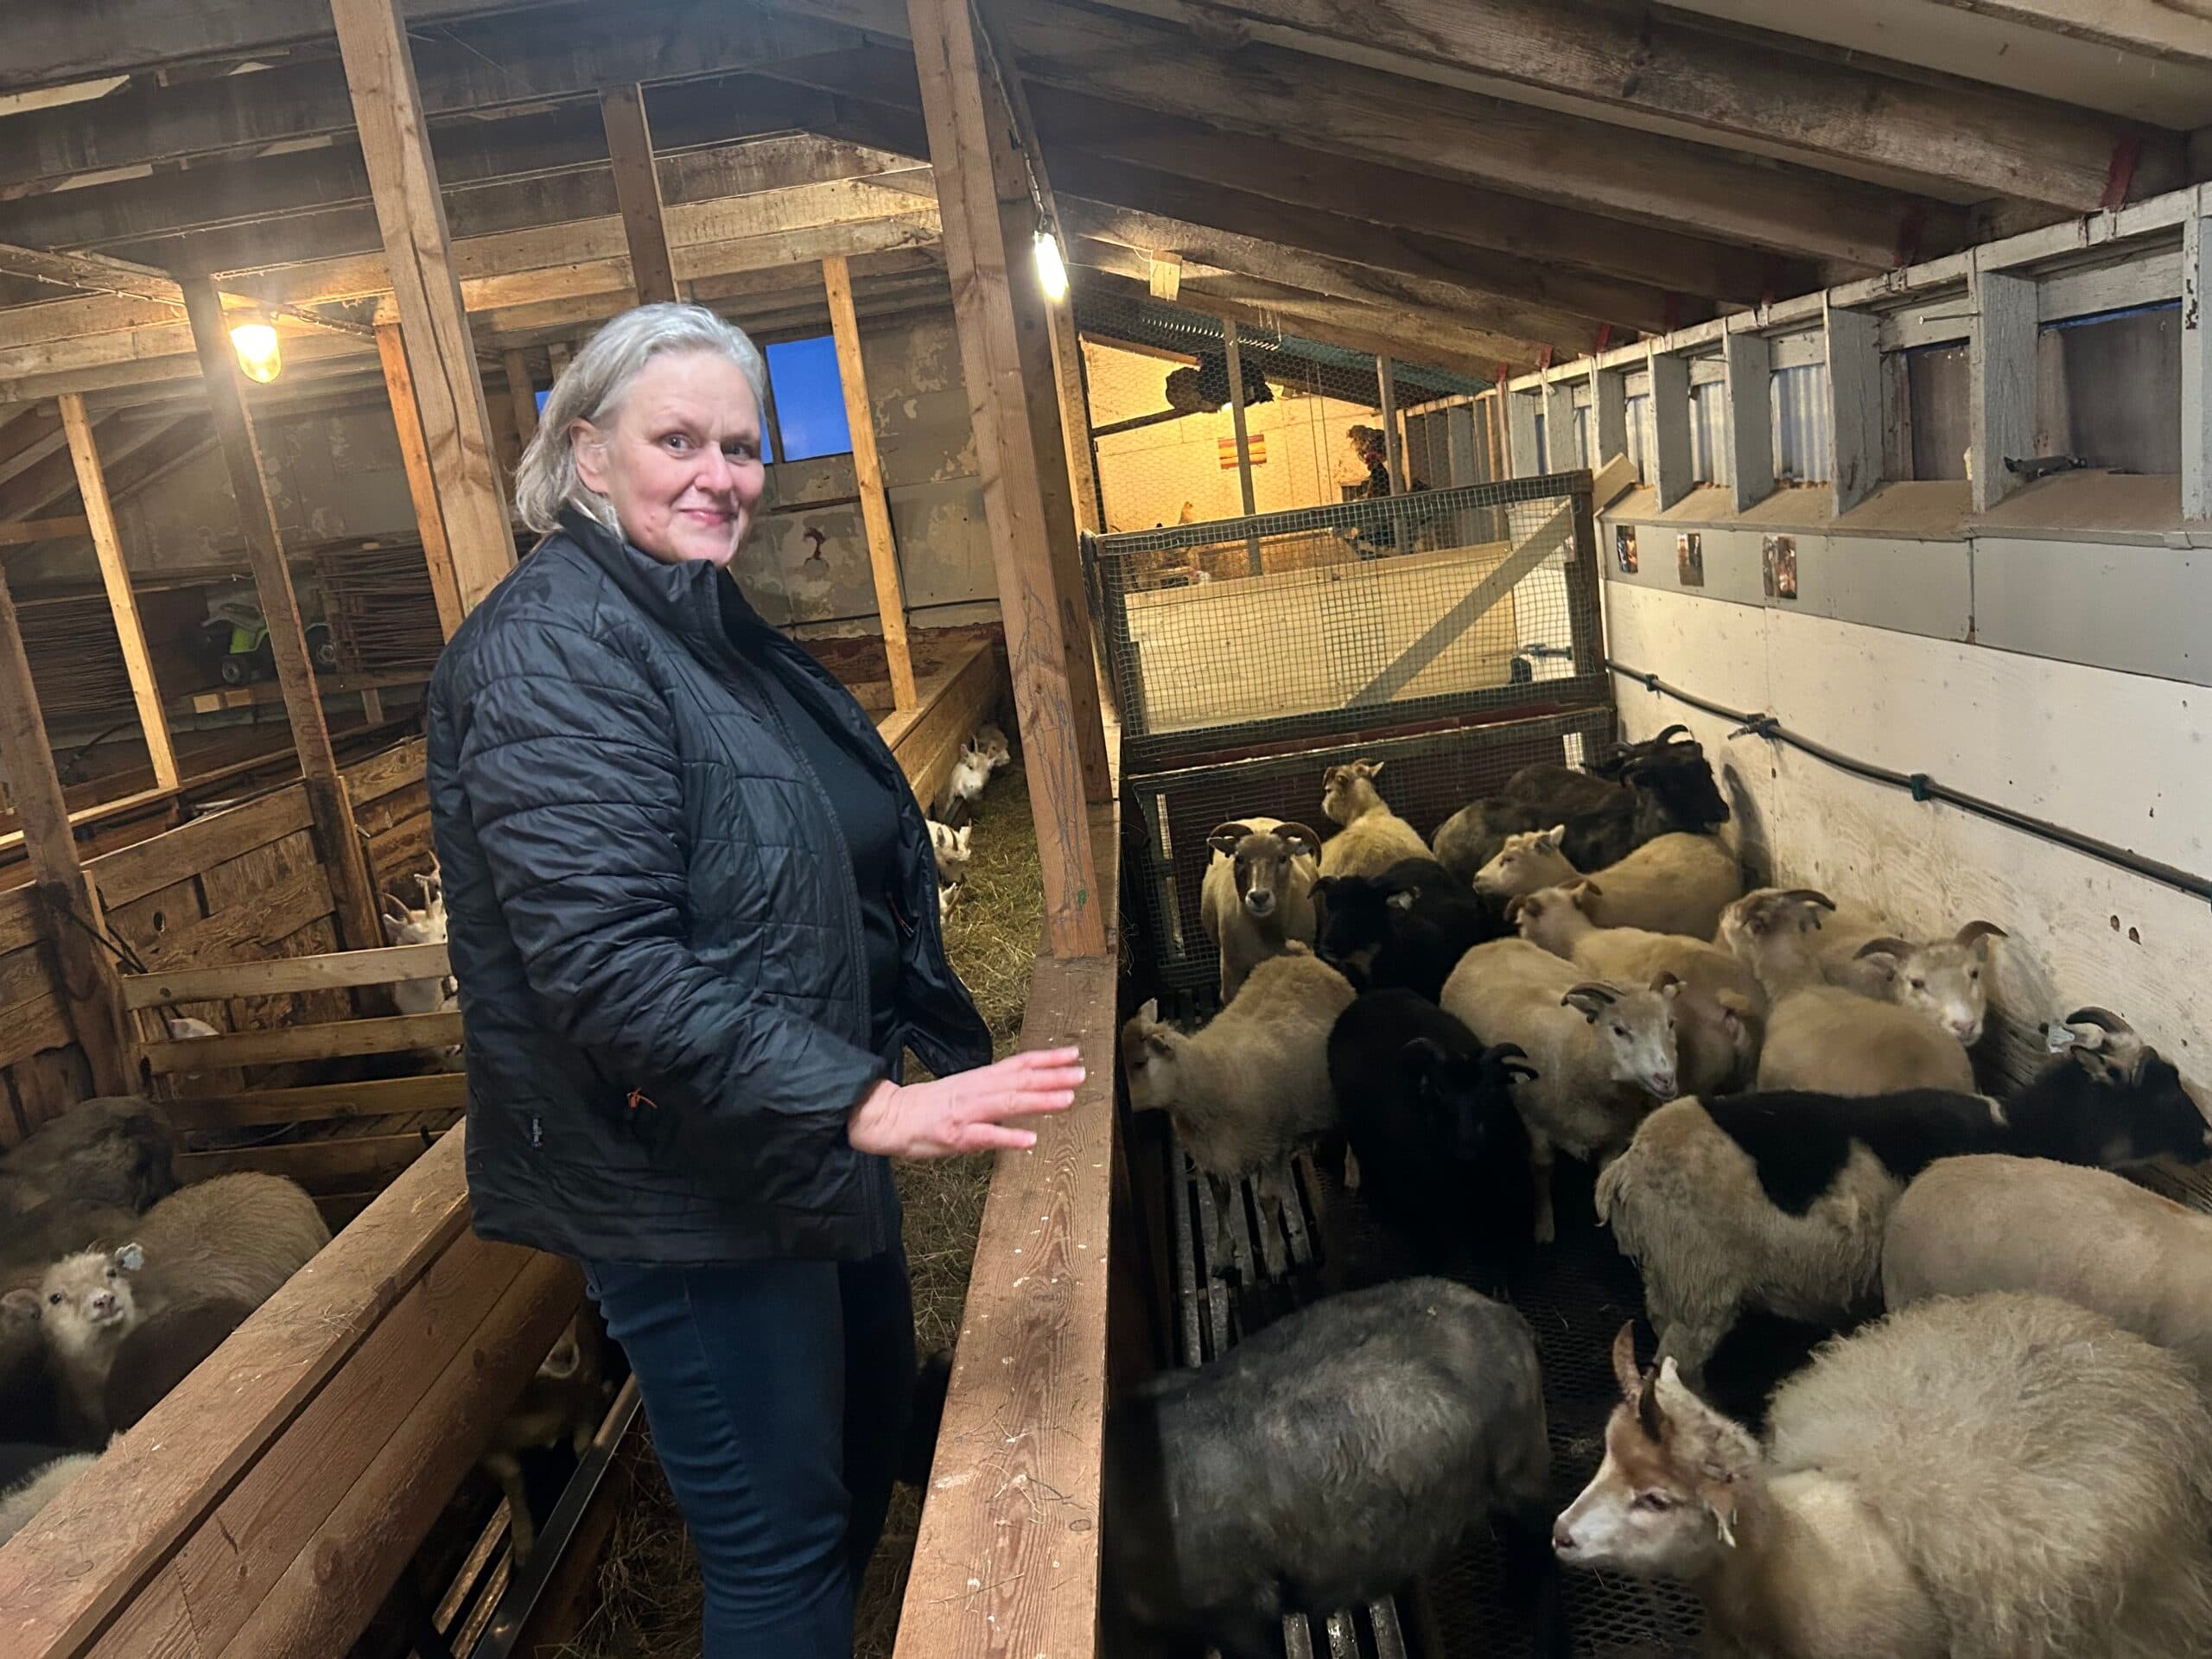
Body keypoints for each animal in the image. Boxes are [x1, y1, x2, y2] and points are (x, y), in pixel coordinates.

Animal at [1121, 947, 1355, 1276]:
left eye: (1140, 1063)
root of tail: (1301, 954)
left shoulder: (1272, 1147)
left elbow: (1268, 1200)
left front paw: (1275, 1258)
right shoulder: (1210, 1156)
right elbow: (1221, 1200)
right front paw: (1222, 1251)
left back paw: (1351, 1172)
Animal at [1199, 817, 1321, 1001]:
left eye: (1283, 858)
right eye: (1239, 858)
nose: (1259, 897)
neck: (1267, 930)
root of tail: (1255, 819)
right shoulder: (1230, 970)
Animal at [1326, 990, 1536, 1288]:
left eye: (1492, 1088)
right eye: (1438, 1089)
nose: (1467, 1144)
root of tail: (1372, 995)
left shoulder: (1500, 1187)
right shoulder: (1418, 1196)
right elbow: (1432, 1244)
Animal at [1441, 939, 1682, 1243]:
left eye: (1670, 1023)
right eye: (1618, 1030)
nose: (1665, 1078)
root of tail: (1492, 943)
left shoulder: (1614, 1135)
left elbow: (1604, 1175)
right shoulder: (1534, 1123)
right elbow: (1541, 1169)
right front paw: (1544, 1226)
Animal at [1592, 1004, 2212, 1385]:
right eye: (2159, 1088)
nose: (2207, 1139)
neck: (2024, 1129)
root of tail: (1626, 1167)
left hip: (1668, 1284)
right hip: (1699, 1285)